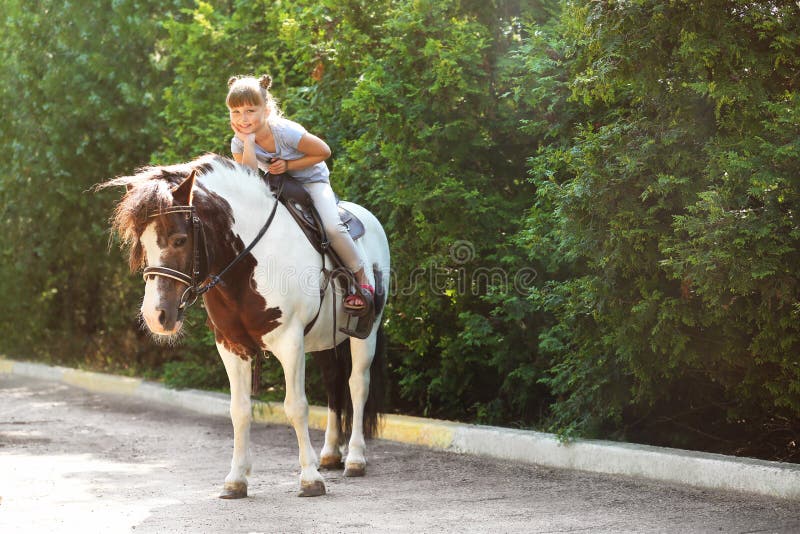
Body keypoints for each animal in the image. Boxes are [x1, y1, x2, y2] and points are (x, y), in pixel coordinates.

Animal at [101, 155, 390, 498]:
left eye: (179, 240)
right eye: (141, 244)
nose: (155, 315)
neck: (246, 264)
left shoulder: (290, 341)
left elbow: (296, 406)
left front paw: (310, 478)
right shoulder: (230, 345)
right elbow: (239, 410)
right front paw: (236, 479)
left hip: (365, 333)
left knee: (357, 384)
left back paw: (355, 458)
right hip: (325, 340)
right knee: (334, 384)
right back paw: (331, 454)